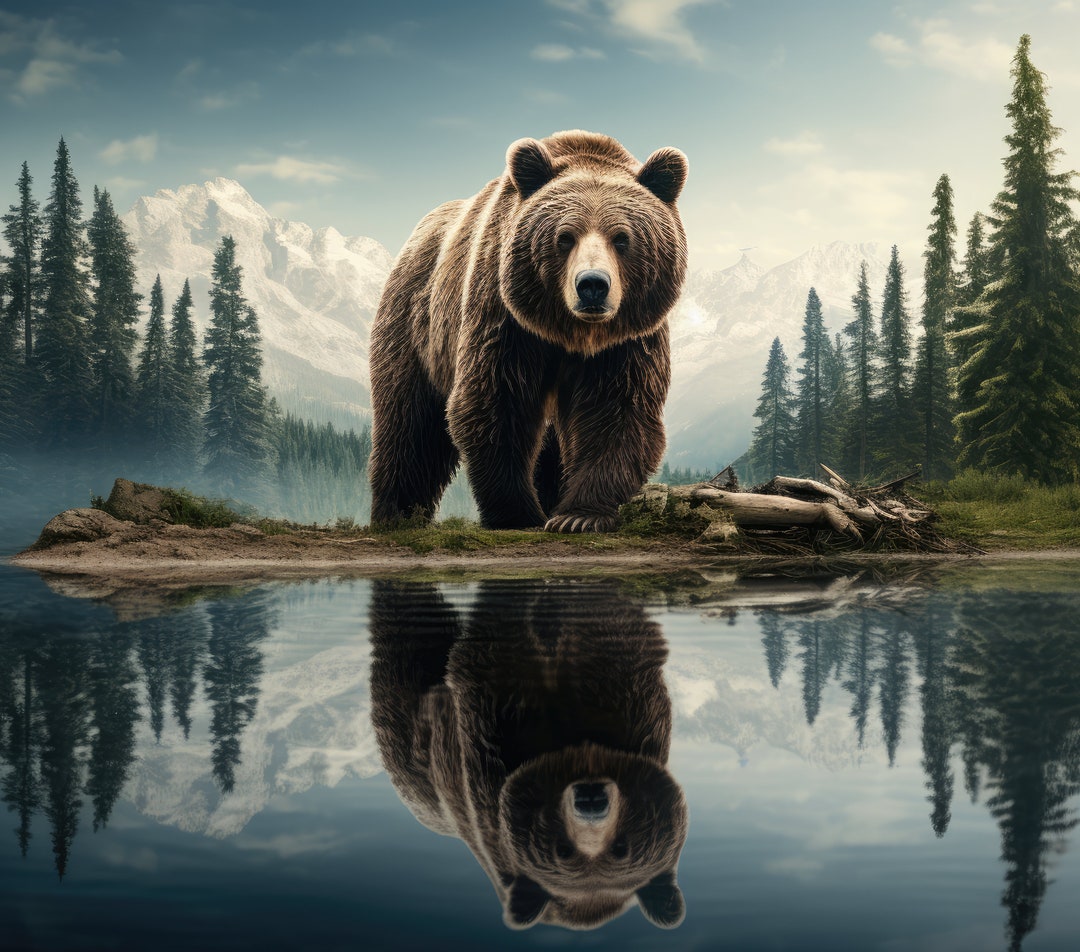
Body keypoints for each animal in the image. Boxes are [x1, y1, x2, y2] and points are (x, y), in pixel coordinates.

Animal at [368, 130, 688, 532]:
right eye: (565, 237)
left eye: (622, 238)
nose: (592, 285)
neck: (569, 332)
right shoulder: (505, 319)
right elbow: (496, 402)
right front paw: (518, 513)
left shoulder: (627, 339)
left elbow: (616, 408)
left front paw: (577, 516)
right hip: (414, 324)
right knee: (409, 425)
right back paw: (396, 514)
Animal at [369, 578, 689, 930]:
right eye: (563, 849)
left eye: (622, 848)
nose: (590, 801)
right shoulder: (488, 745)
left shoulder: (634, 708)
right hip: (421, 766)